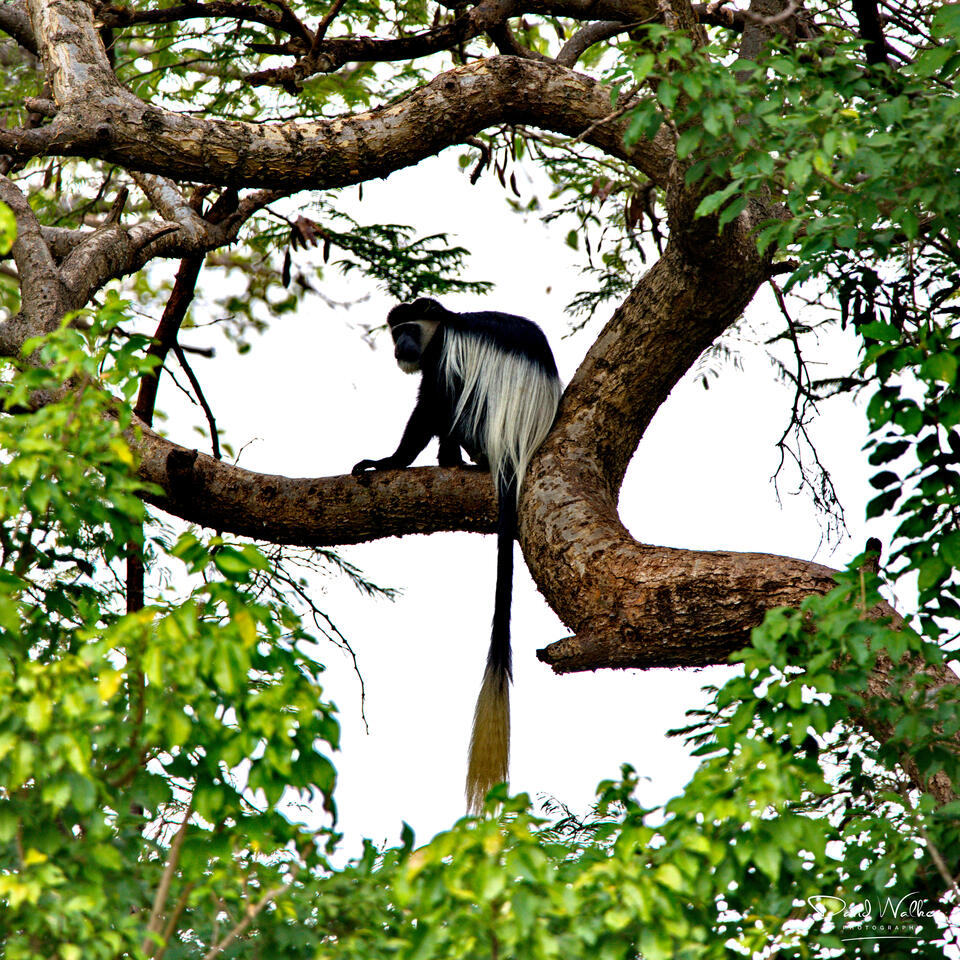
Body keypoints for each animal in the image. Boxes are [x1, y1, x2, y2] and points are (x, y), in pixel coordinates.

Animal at [352, 297, 562, 814]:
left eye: (409, 330)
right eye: (396, 332)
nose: (401, 346)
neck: (446, 324)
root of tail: (515, 451)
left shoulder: (445, 355)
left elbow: (430, 405)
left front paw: (387, 462)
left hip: (483, 422)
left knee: (452, 403)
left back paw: (454, 459)